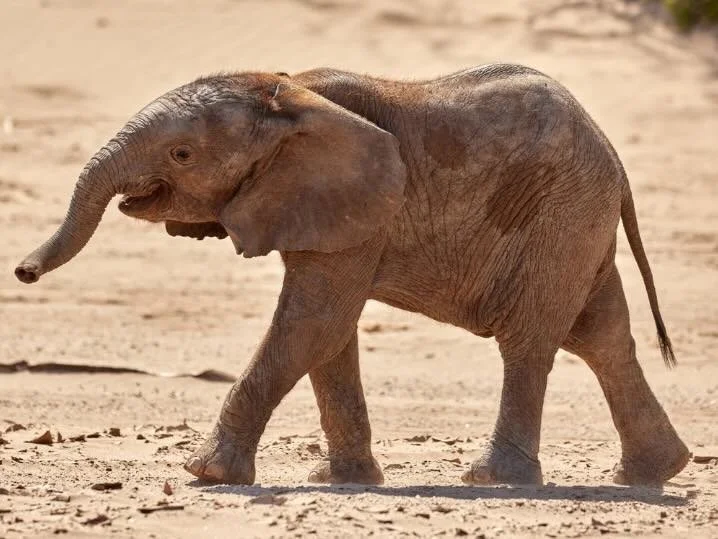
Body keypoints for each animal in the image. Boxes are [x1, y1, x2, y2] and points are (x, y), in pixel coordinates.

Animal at [15, 64, 690, 486]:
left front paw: (205, 474)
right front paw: (341, 480)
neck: (289, 91)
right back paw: (651, 475)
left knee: (529, 340)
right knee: (601, 337)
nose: (22, 272)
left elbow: (313, 321)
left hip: (560, 216)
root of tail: (614, 157)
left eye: (182, 154)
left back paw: (493, 480)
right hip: (577, 223)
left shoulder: (356, 206)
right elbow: (330, 335)